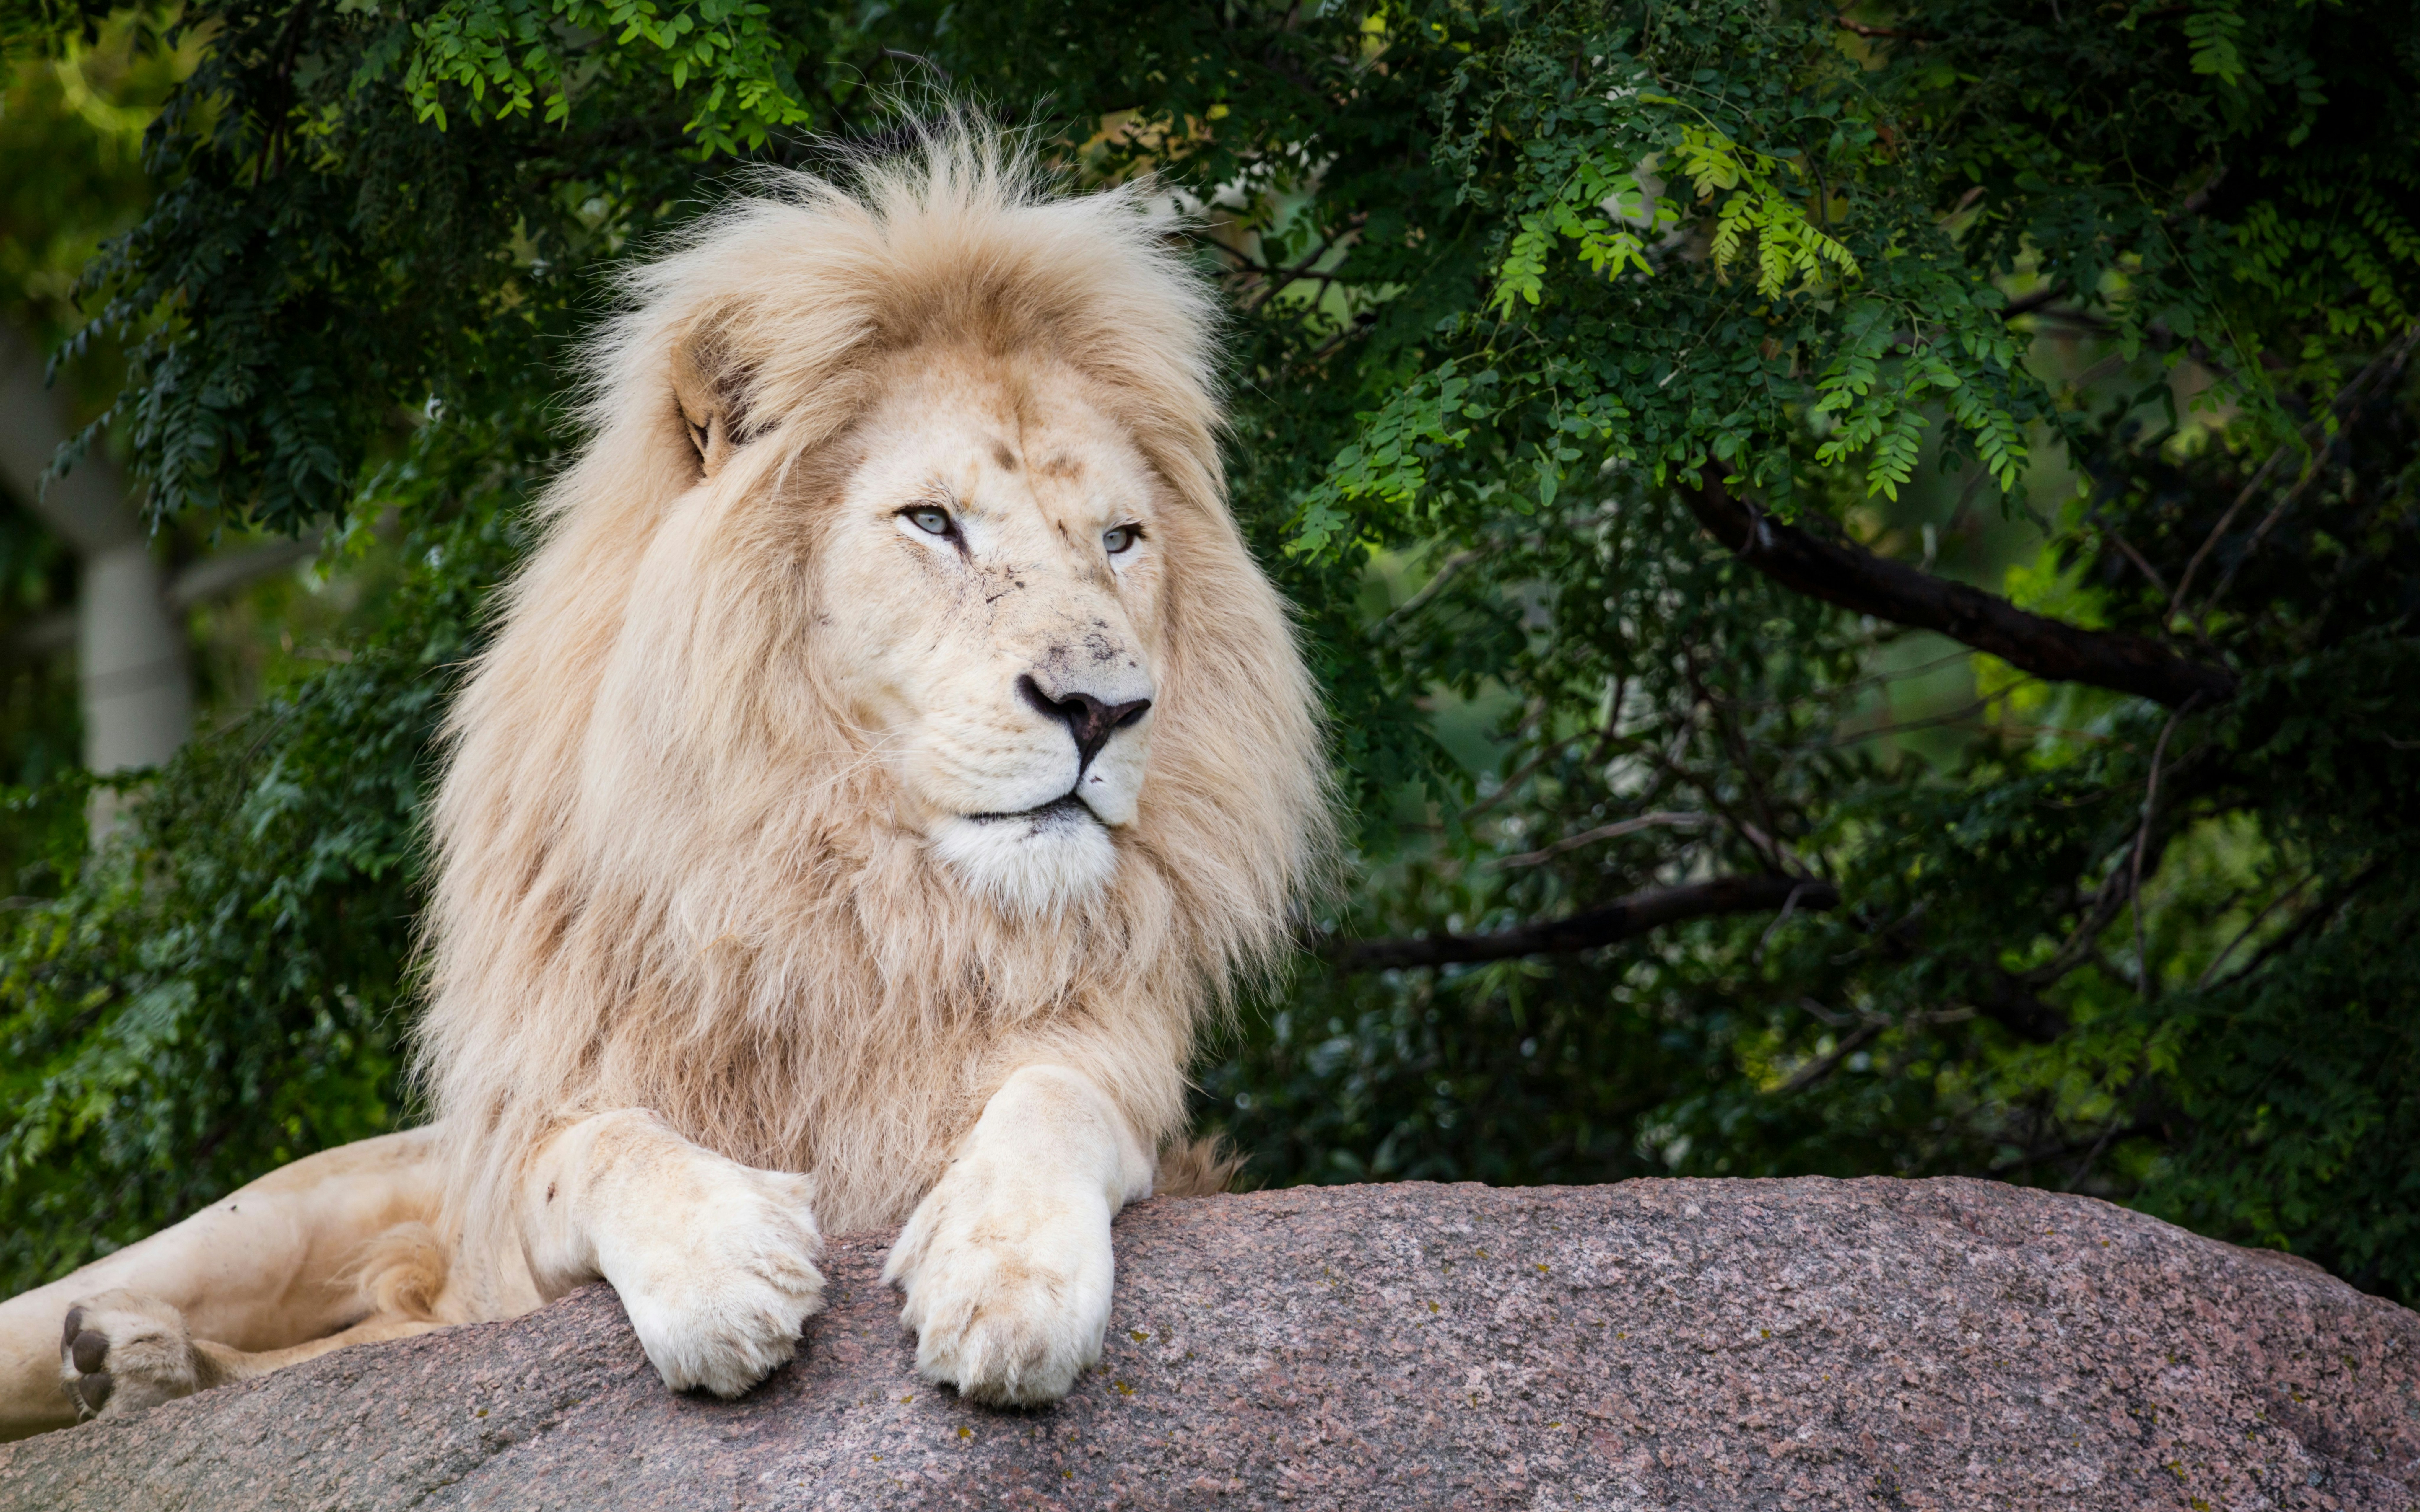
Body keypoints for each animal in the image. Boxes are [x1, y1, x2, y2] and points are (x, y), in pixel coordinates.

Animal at [0, 129, 1329, 1438]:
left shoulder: (1121, 1082)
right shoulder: (522, 1179)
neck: (850, 892)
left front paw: (1007, 1280)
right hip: (267, 1219)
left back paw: (145, 1365)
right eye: (932, 522)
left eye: (1120, 540)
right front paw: (723, 1270)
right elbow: (596, 1146)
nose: (1102, 708)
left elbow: (1057, 1099)